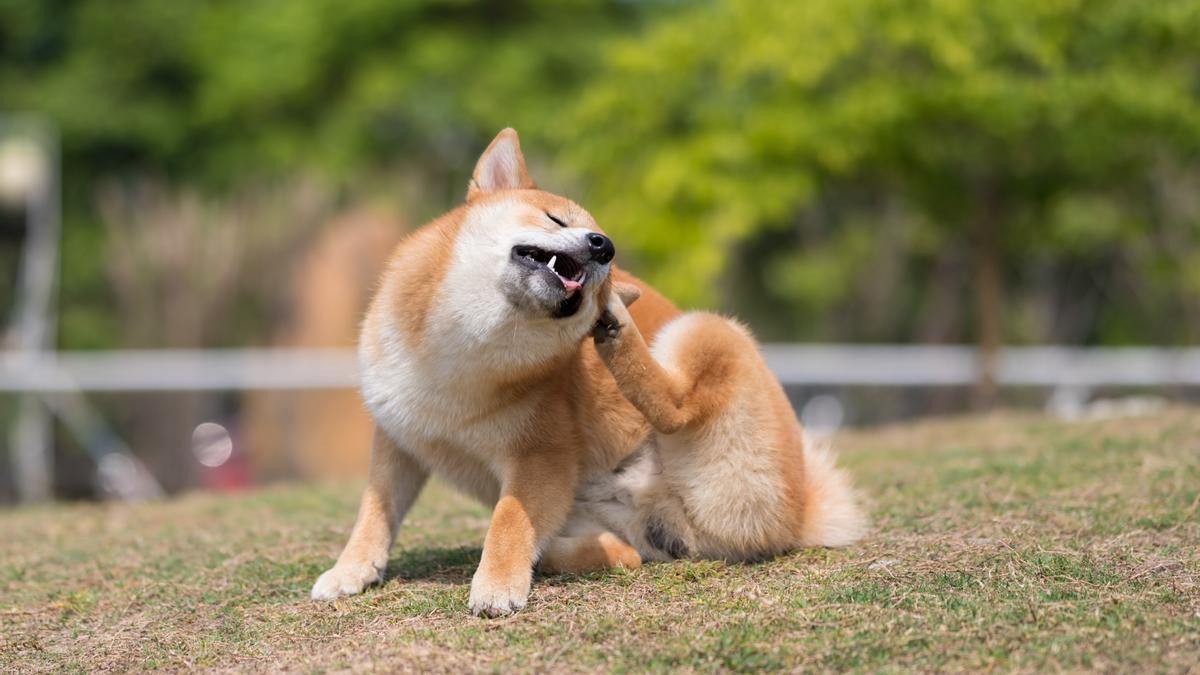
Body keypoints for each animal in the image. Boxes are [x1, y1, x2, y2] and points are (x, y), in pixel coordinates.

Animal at [309, 127, 864, 614]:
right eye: (555, 219)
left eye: (604, 253)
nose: (604, 246)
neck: (461, 353)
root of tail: (801, 513)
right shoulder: (399, 440)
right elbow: (375, 515)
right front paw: (351, 570)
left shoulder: (540, 455)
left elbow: (509, 520)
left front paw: (497, 584)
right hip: (607, 514)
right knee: (625, 554)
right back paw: (585, 552)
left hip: (705, 331)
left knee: (675, 408)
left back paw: (618, 328)